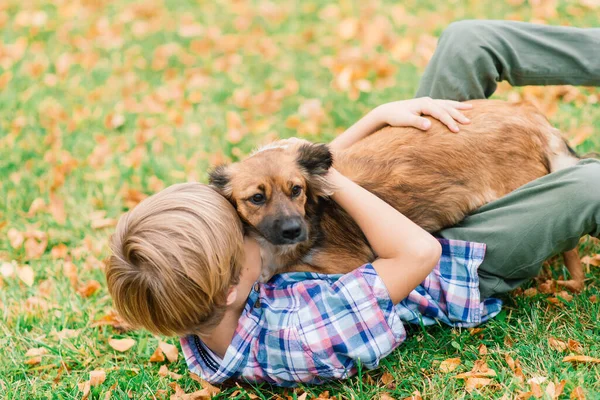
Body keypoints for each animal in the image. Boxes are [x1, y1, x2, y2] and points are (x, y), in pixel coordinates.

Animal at [210, 101, 580, 290]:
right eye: (256, 198)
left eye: (296, 189)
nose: (292, 230)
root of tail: (531, 116)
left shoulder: (350, 263)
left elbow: (283, 272)